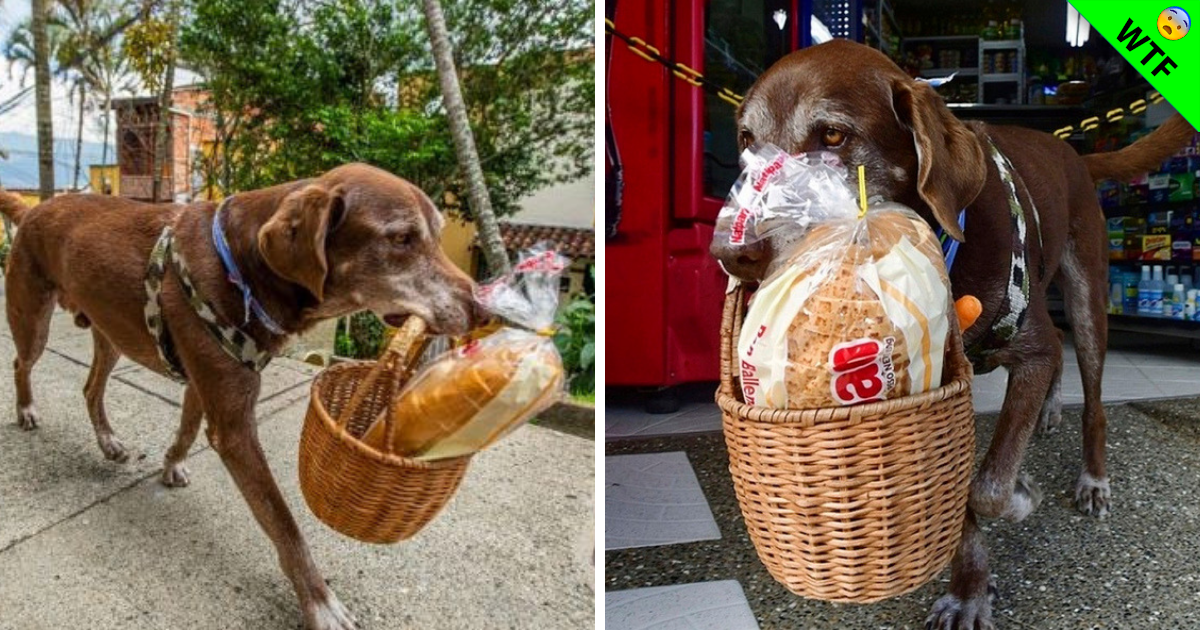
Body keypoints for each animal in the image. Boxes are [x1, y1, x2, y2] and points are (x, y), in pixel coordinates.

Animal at [0, 163, 477, 628]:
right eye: (400, 239)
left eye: (437, 235)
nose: (482, 308)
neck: (244, 268)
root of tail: (34, 209)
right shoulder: (234, 426)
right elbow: (284, 523)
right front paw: (320, 602)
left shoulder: (205, 384)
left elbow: (188, 429)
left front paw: (172, 463)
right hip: (33, 319)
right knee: (22, 364)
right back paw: (26, 409)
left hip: (111, 332)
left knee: (90, 388)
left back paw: (108, 441)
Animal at [705, 41, 1195, 624]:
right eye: (746, 141)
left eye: (833, 136)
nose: (730, 253)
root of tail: (1071, 150)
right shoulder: (935, 389)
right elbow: (959, 496)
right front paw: (970, 589)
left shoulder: (1030, 352)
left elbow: (987, 486)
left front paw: (1020, 496)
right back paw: (1051, 410)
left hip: (1087, 293)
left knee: (1092, 394)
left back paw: (1093, 477)